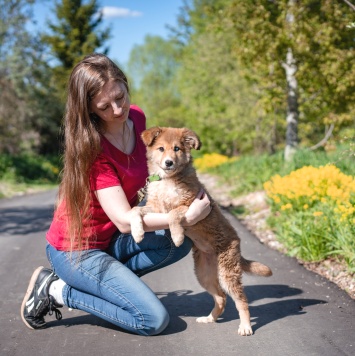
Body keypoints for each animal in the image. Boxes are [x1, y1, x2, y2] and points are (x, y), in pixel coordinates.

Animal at [131, 126, 272, 336]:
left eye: (177, 149)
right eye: (161, 148)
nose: (169, 162)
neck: (167, 181)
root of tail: (237, 245)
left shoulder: (189, 204)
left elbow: (173, 213)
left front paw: (177, 237)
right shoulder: (155, 208)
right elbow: (134, 210)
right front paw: (137, 232)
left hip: (227, 273)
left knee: (241, 300)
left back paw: (245, 326)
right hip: (204, 274)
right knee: (221, 297)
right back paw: (210, 318)